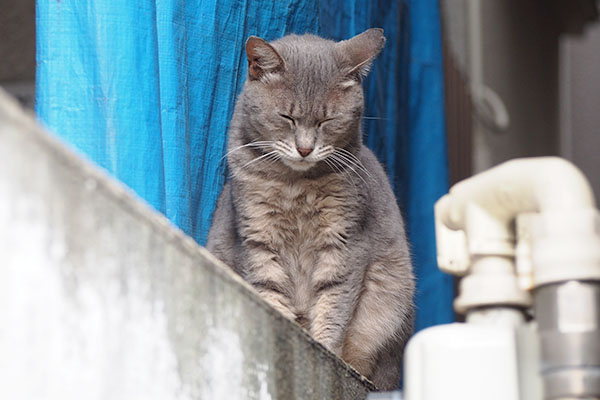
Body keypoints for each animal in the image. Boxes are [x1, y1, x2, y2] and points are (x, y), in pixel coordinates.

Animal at [206, 28, 412, 390]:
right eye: (286, 118)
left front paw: (325, 349)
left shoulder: (344, 244)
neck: (294, 186)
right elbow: (270, 291)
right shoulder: (258, 238)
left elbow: (333, 307)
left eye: (328, 120)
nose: (305, 149)